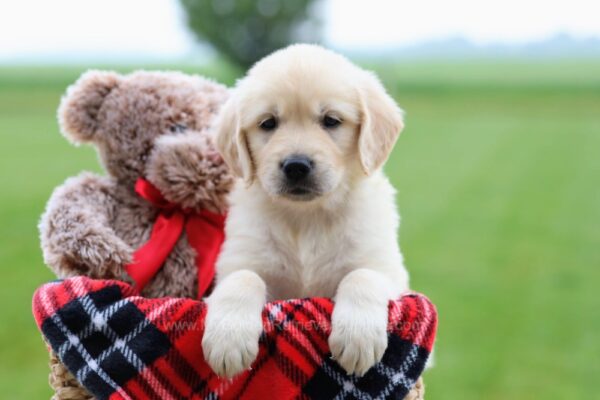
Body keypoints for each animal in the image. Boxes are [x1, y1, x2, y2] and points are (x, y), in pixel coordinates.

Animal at [204, 43, 410, 378]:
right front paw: (228, 339)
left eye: (331, 120)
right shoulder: (240, 260)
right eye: (268, 123)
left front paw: (357, 337)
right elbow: (243, 278)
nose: (296, 166)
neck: (307, 217)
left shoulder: (388, 270)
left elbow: (362, 275)